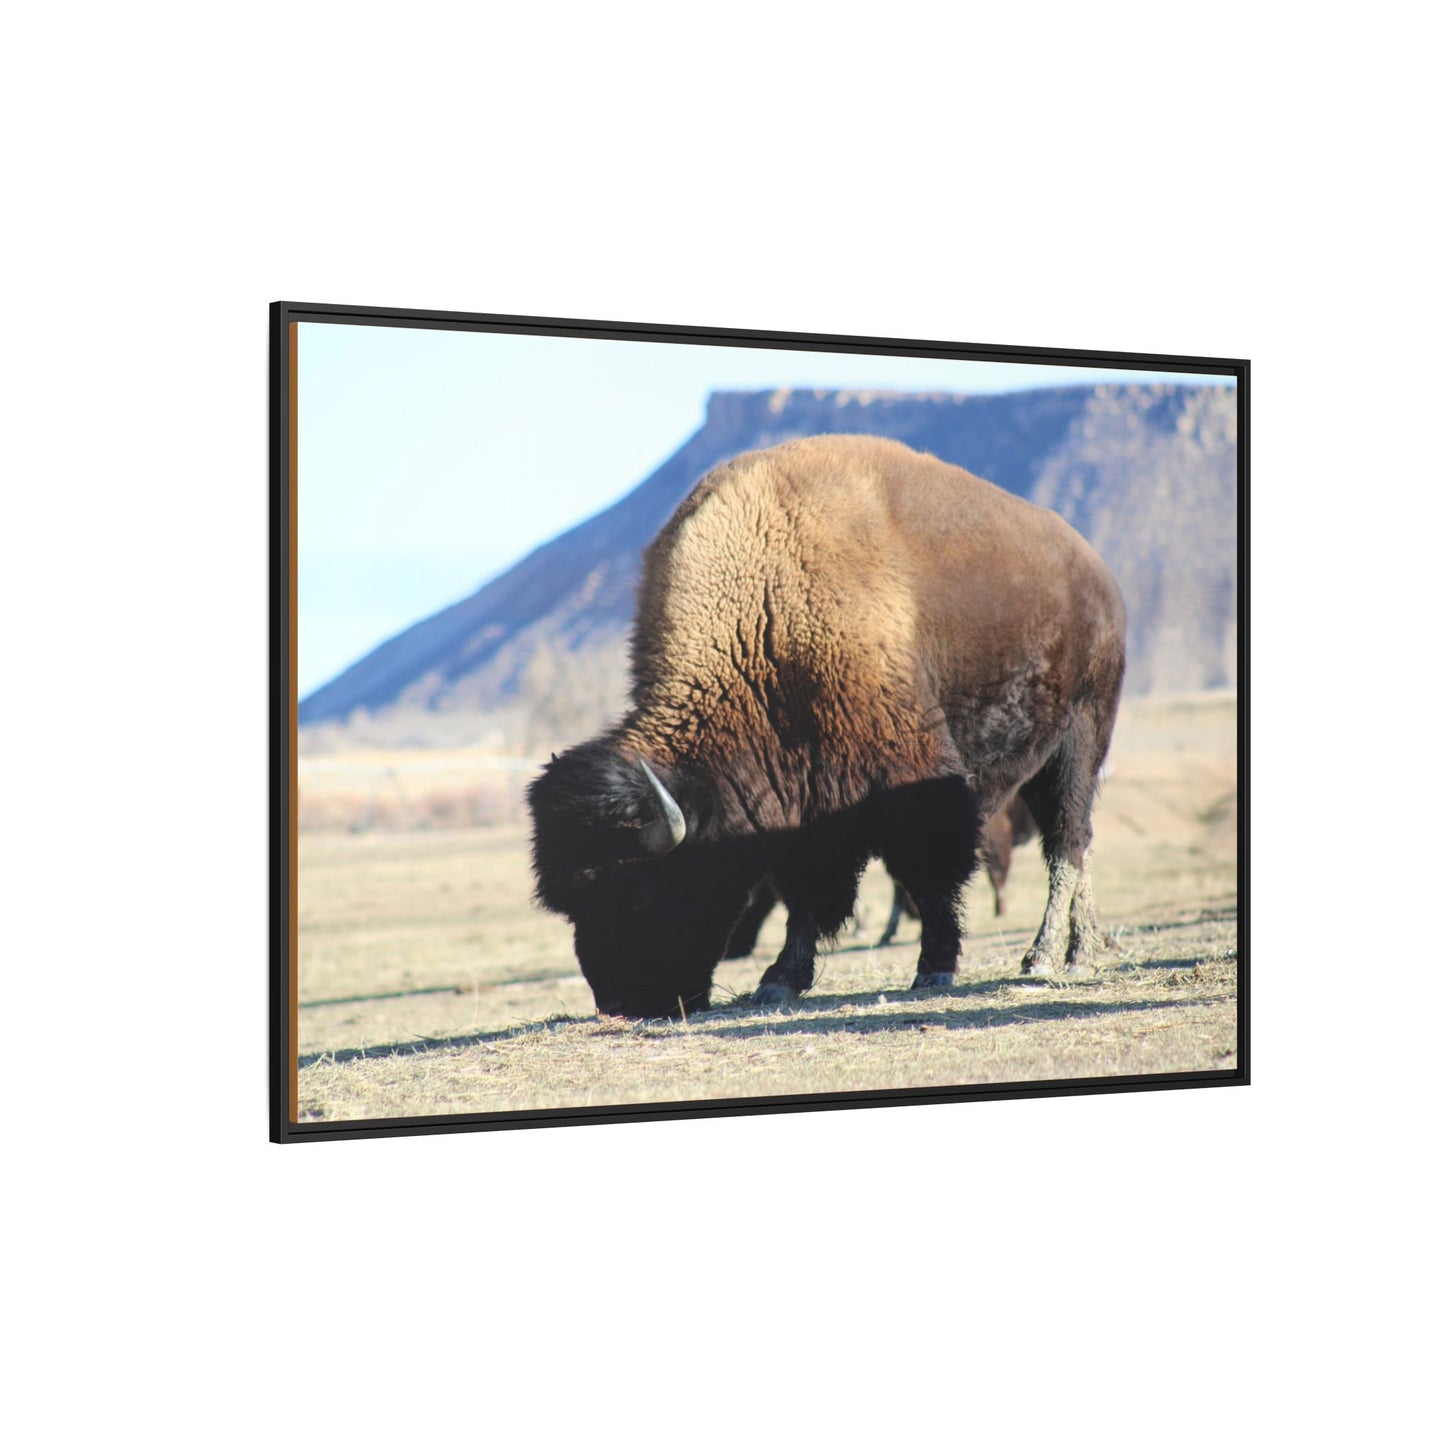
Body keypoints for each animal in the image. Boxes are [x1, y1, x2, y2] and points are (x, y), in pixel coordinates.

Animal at [528, 434, 1126, 1019]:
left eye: (639, 892)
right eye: (572, 905)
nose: (620, 1004)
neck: (765, 617)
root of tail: (1098, 574)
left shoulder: (912, 780)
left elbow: (929, 872)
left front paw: (934, 967)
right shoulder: (804, 802)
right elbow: (806, 893)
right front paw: (779, 981)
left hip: (1079, 741)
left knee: (1067, 842)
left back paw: (1049, 956)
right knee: (1078, 843)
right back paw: (1082, 948)